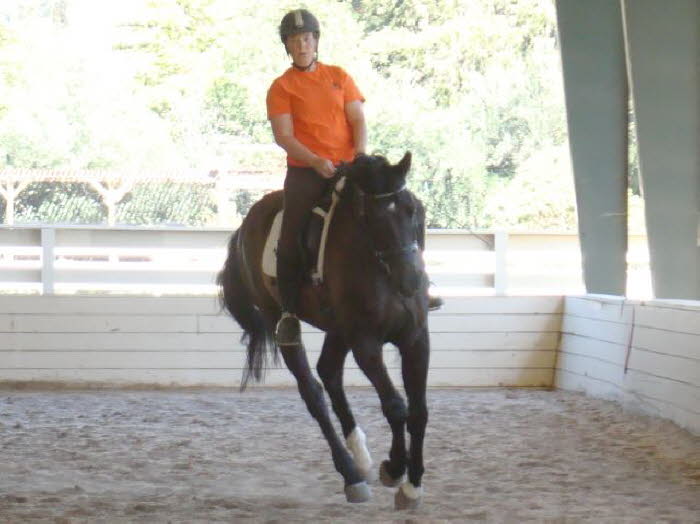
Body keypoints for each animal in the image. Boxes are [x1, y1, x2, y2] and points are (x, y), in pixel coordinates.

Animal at [216, 150, 430, 508]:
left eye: (414, 209)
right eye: (373, 219)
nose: (412, 281)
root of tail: (245, 225)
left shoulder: (415, 339)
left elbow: (418, 412)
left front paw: (413, 486)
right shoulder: (365, 343)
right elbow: (396, 407)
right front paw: (395, 469)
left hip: (339, 328)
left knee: (328, 371)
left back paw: (360, 454)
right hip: (283, 321)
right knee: (313, 392)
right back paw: (352, 475)